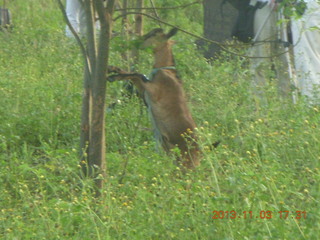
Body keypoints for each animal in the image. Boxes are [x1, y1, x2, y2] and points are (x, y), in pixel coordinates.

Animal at [107, 27, 200, 169]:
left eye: (153, 34)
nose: (138, 41)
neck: (166, 70)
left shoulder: (154, 91)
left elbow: (138, 74)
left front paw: (112, 76)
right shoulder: (144, 91)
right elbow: (134, 75)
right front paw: (111, 69)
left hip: (186, 161)